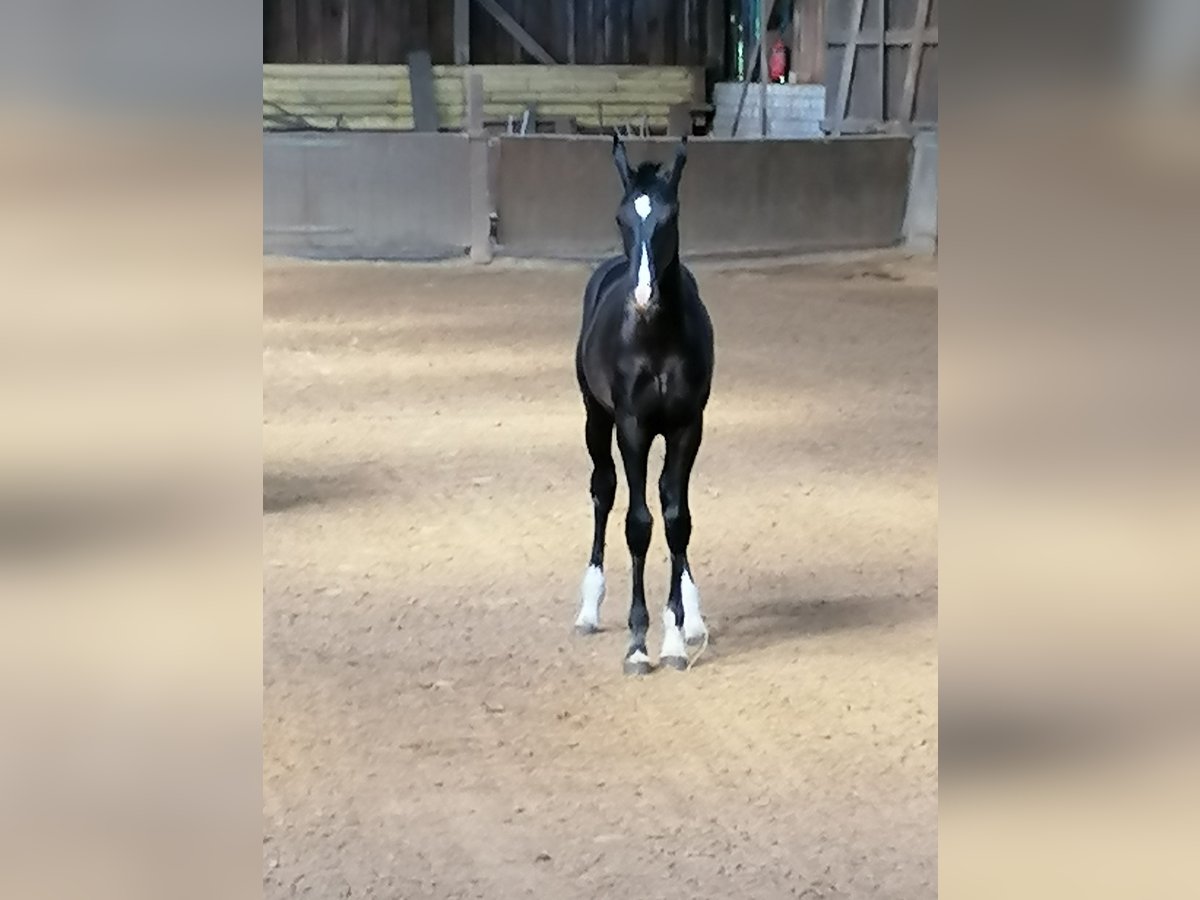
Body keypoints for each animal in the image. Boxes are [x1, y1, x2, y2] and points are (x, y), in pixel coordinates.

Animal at [571, 135, 710, 676]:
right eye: (621, 217)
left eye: (671, 216)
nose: (644, 295)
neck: (657, 340)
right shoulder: (632, 426)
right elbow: (639, 524)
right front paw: (637, 643)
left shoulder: (687, 426)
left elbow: (677, 520)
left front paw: (674, 637)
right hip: (595, 417)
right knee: (603, 490)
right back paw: (588, 608)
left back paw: (694, 619)